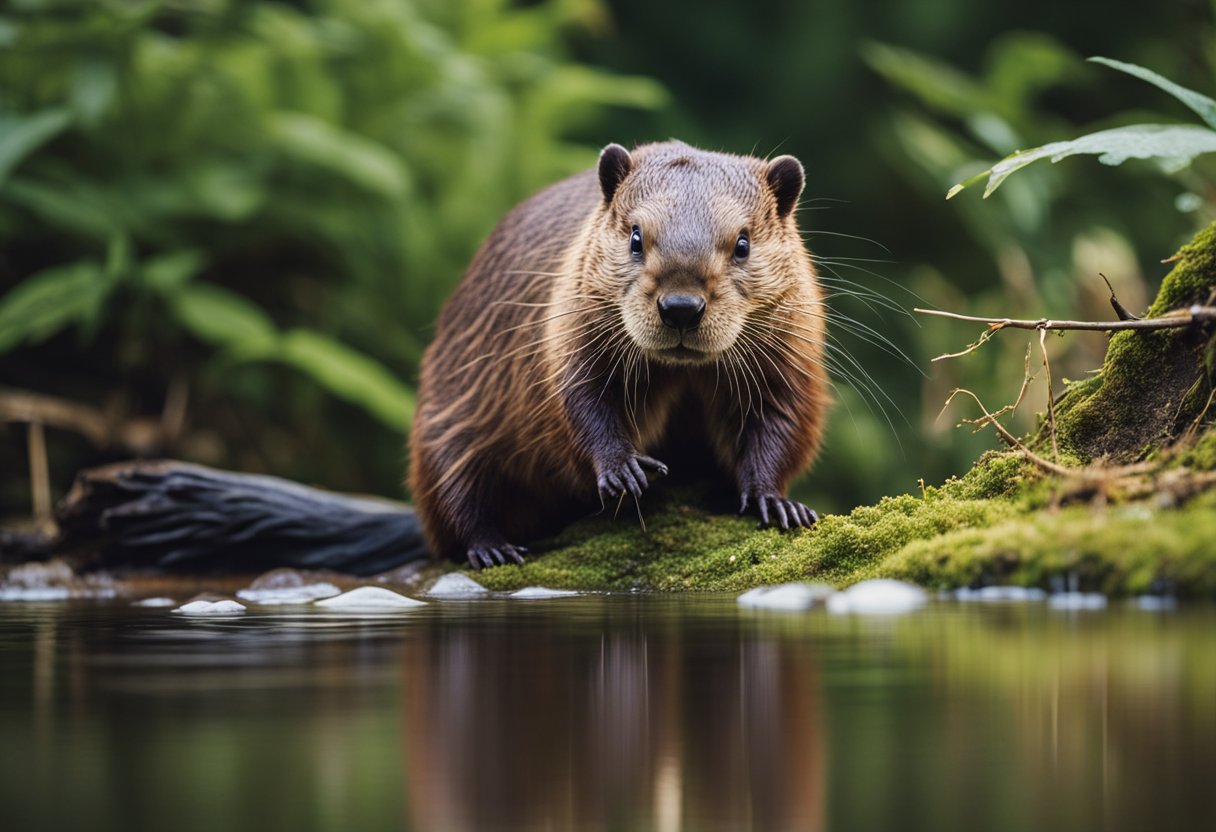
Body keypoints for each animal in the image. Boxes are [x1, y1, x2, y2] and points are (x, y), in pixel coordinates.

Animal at [408, 141, 826, 564]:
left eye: (743, 244)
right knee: (459, 504)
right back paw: (494, 549)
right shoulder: (570, 342)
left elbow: (778, 426)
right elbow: (584, 408)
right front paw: (624, 469)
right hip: (445, 429)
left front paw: (776, 502)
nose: (680, 308)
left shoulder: (788, 363)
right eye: (636, 238)